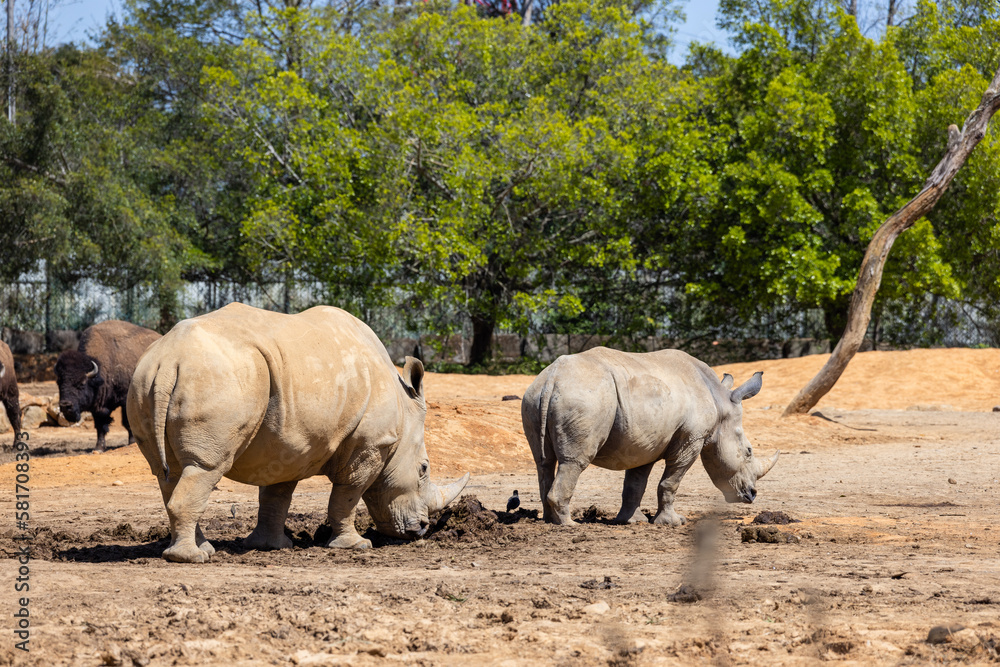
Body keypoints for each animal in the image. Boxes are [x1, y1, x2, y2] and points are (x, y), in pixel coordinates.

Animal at [127, 303, 469, 563]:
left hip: (145, 378)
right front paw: (356, 546)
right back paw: (192, 558)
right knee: (206, 467)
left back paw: (203, 549)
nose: (421, 528)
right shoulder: (369, 444)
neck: (403, 407)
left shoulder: (288, 445)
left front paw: (271, 547)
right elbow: (348, 494)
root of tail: (168, 359)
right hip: (217, 378)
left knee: (169, 472)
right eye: (423, 469)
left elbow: (276, 496)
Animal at [521, 348, 779, 526]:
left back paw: (550, 520)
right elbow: (671, 482)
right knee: (574, 462)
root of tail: (553, 378)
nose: (752, 495)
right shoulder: (690, 440)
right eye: (748, 452)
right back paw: (569, 524)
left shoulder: (644, 443)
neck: (720, 404)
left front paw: (631, 521)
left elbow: (635, 484)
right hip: (585, 397)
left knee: (543, 462)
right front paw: (674, 522)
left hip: (534, 396)